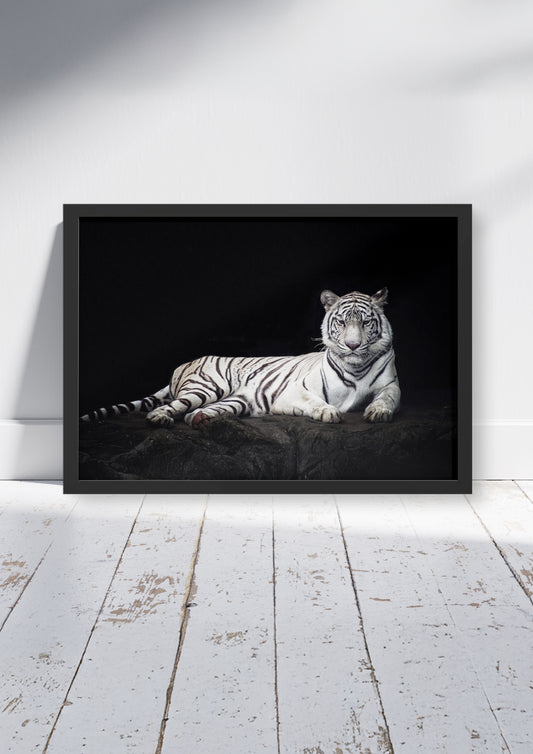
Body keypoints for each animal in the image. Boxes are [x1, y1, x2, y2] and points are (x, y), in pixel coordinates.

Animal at [81, 287, 401, 428]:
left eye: (366, 323)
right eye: (342, 322)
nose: (352, 345)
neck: (355, 367)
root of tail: (184, 363)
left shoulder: (391, 385)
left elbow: (388, 398)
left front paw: (378, 412)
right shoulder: (294, 392)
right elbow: (315, 401)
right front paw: (328, 412)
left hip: (237, 399)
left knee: (193, 413)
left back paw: (201, 419)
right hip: (206, 387)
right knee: (170, 407)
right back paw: (160, 418)